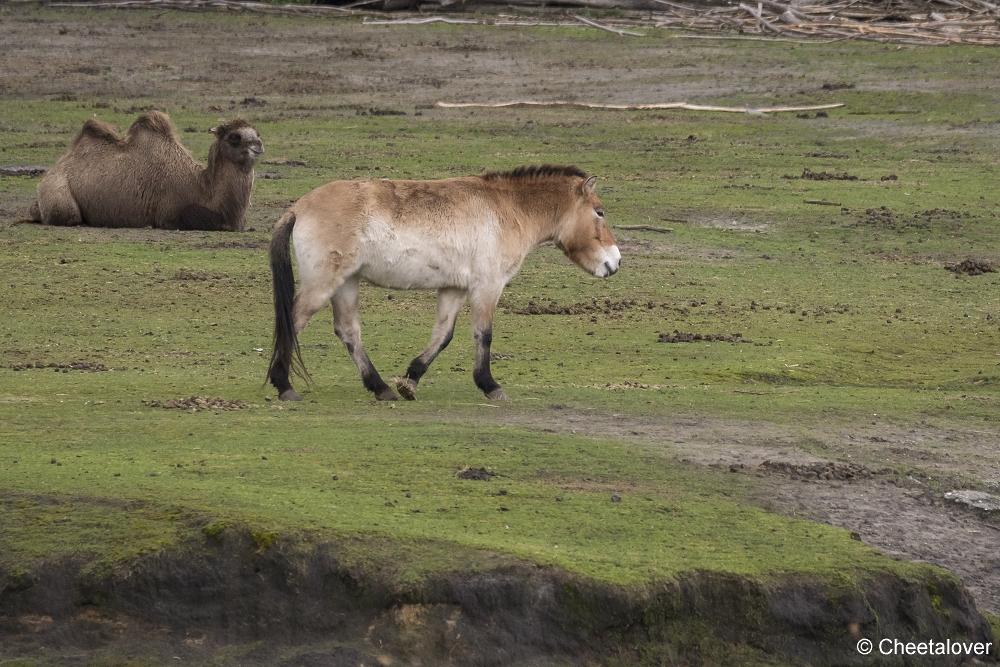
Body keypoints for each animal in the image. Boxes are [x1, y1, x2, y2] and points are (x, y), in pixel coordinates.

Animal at [28, 112, 262, 232]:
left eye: (257, 133)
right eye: (234, 137)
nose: (259, 145)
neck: (202, 189)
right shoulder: (170, 215)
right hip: (60, 198)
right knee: (68, 216)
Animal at [270, 166, 620, 402]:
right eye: (600, 212)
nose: (615, 263)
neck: (508, 209)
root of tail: (298, 207)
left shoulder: (454, 289)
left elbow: (443, 335)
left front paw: (410, 381)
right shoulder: (488, 286)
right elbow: (483, 335)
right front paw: (491, 386)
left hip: (346, 283)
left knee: (348, 331)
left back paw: (381, 388)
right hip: (323, 284)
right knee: (294, 320)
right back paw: (284, 386)